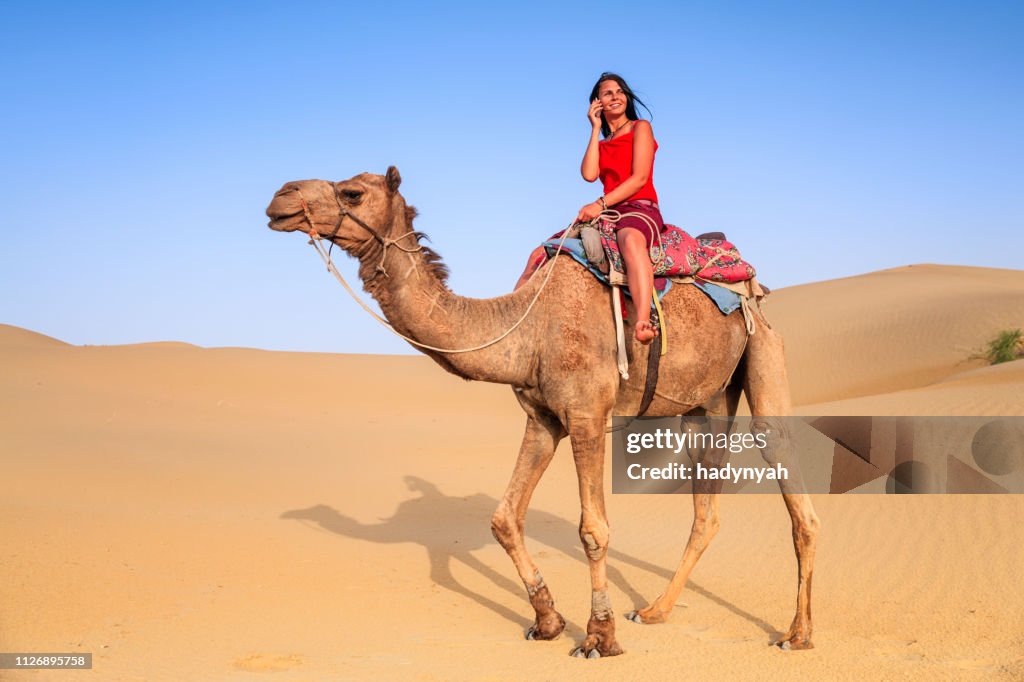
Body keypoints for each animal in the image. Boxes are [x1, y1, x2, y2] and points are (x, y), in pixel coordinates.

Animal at [265, 167, 820, 658]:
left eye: (353, 193)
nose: (280, 197)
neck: (525, 328)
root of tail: (751, 282)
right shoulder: (542, 420)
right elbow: (504, 518)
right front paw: (548, 620)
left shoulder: (587, 413)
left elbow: (593, 531)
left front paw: (599, 637)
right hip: (705, 404)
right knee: (706, 512)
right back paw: (655, 611)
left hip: (762, 348)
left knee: (789, 480)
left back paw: (797, 634)